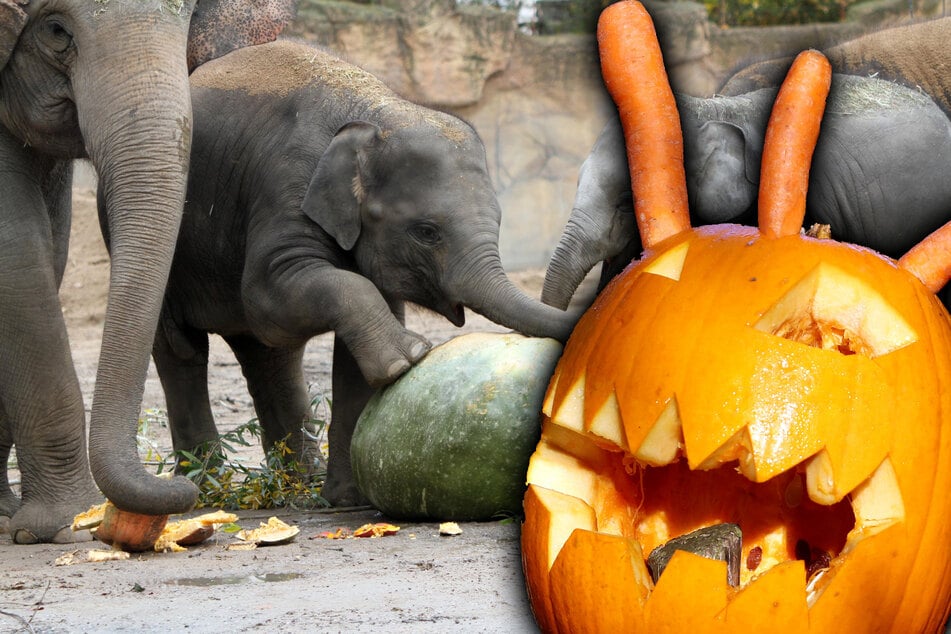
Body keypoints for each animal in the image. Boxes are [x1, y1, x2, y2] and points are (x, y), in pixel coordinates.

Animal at [0, 1, 296, 544]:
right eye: (56, 31)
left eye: (189, 21)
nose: (185, 485)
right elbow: (16, 249)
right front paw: (66, 525)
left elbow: (49, 245)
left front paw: (47, 525)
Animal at [104, 38, 580, 504]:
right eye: (427, 232)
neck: (377, 111)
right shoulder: (287, 185)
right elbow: (266, 297)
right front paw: (410, 356)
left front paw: (349, 499)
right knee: (184, 349)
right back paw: (208, 490)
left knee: (270, 355)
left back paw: (298, 485)